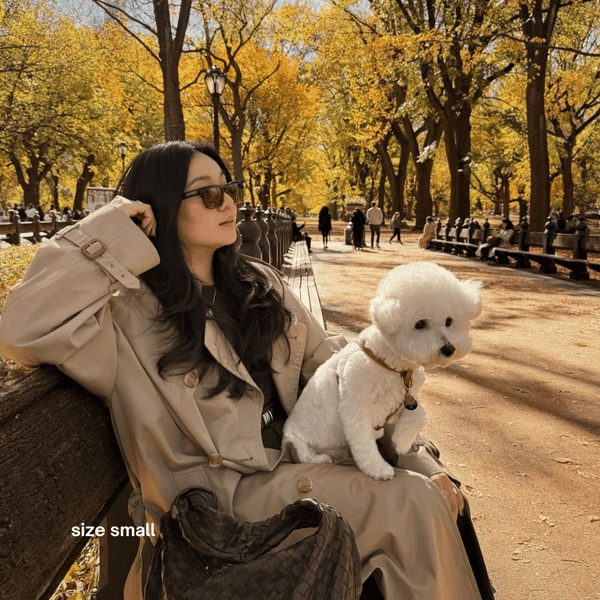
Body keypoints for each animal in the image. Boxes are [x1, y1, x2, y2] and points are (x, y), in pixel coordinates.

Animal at [282, 260, 482, 480]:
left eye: (449, 321)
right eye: (420, 324)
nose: (448, 349)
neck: (390, 364)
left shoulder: (408, 397)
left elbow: (419, 414)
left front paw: (402, 441)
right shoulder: (355, 409)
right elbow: (364, 444)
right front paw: (378, 468)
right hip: (297, 441)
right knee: (305, 453)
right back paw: (321, 458)